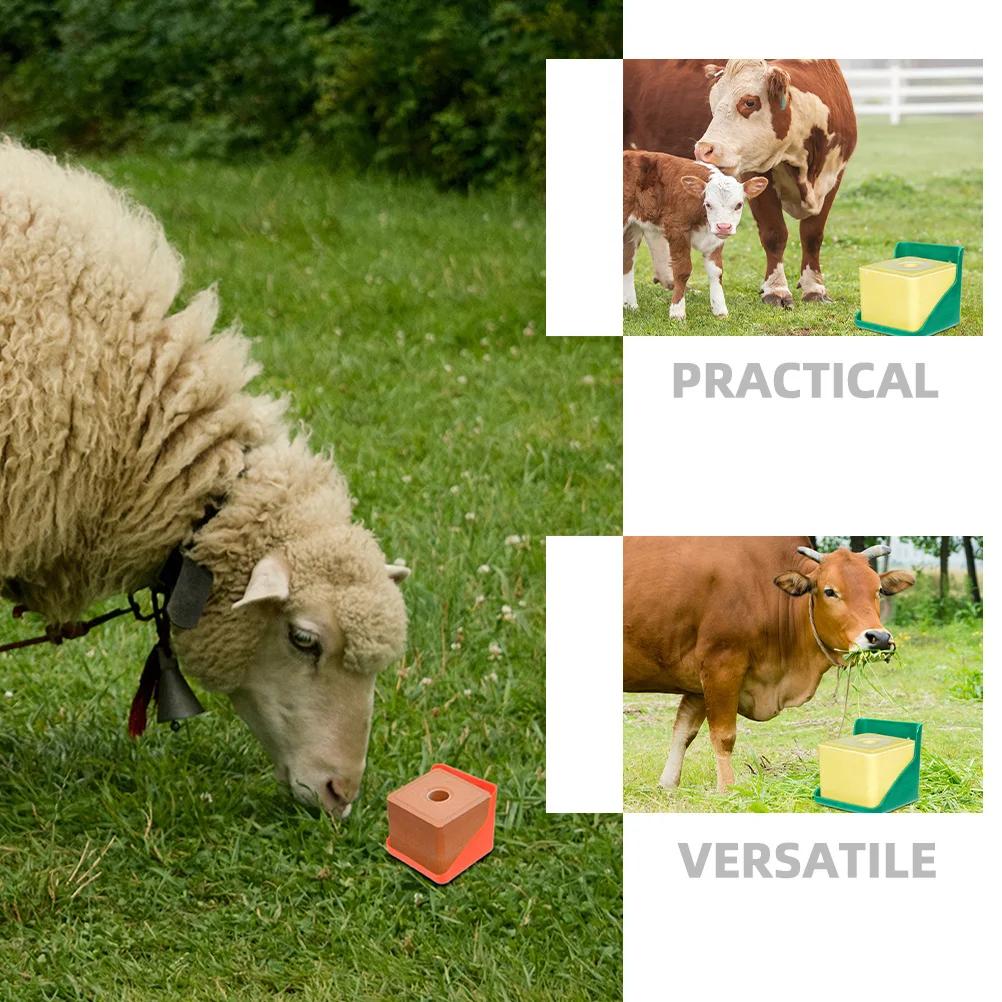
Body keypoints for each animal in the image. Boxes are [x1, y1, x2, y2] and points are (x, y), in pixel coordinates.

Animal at [623, 151, 768, 318]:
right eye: (708, 204)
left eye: (739, 205)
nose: (723, 227)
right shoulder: (677, 229)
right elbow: (682, 271)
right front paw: (677, 312)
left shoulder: (715, 240)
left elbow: (716, 272)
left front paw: (720, 310)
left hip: (632, 228)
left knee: (627, 261)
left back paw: (631, 305)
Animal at [623, 537, 915, 792]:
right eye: (830, 591)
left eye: (877, 590)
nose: (879, 638)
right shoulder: (721, 665)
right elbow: (723, 736)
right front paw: (727, 789)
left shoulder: (698, 681)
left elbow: (684, 731)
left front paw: (668, 784)